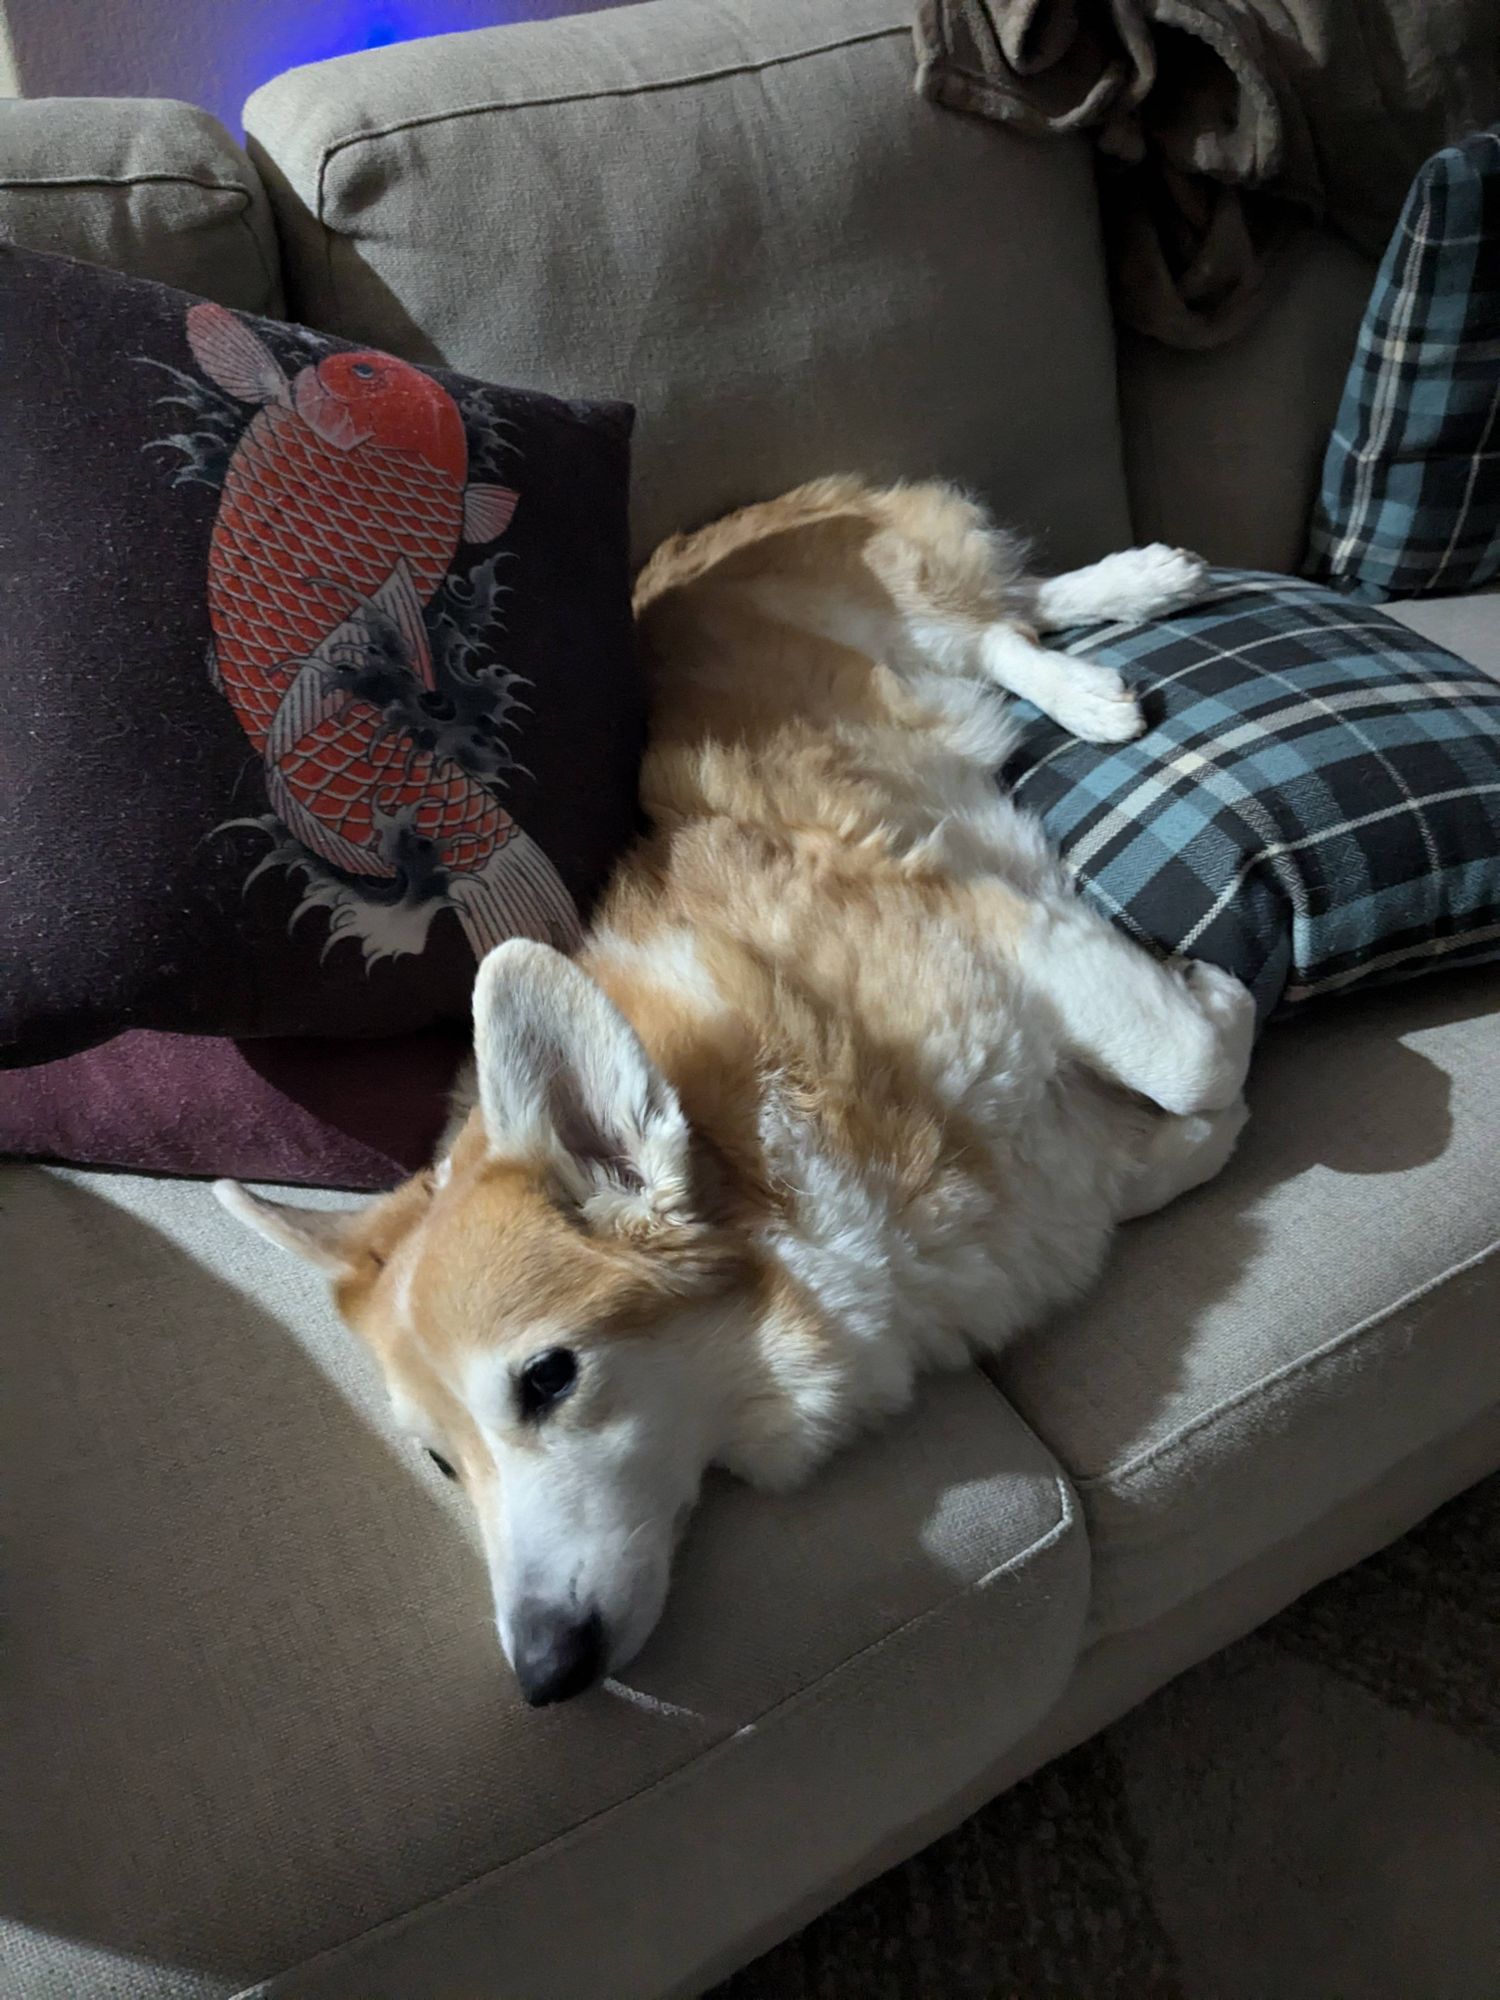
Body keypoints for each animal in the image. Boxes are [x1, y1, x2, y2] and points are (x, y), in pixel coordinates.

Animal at [223, 480, 1256, 1704]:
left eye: (547, 1379)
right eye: (437, 1459)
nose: (545, 1679)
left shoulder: (1018, 936)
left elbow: (1193, 1058)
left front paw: (1220, 997)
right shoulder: (1040, 1180)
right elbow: (1159, 1150)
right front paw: (1177, 1125)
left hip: (892, 599)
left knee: (993, 620)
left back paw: (1114, 648)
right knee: (1012, 612)